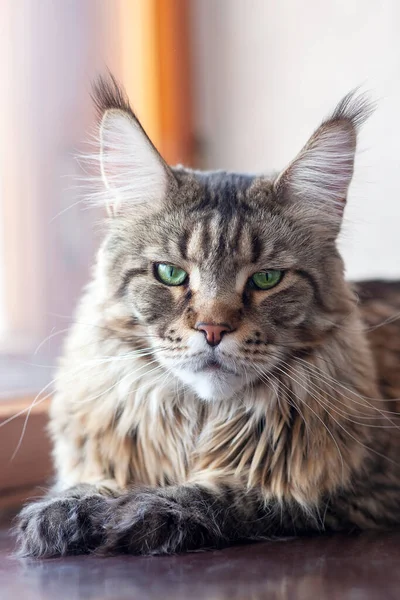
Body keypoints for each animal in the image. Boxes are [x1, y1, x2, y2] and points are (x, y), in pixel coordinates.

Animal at [15, 75, 400, 556]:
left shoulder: (354, 493)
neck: (198, 422)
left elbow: (228, 495)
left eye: (267, 278)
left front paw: (132, 512)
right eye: (170, 273)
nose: (213, 329)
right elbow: (87, 483)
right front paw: (66, 509)